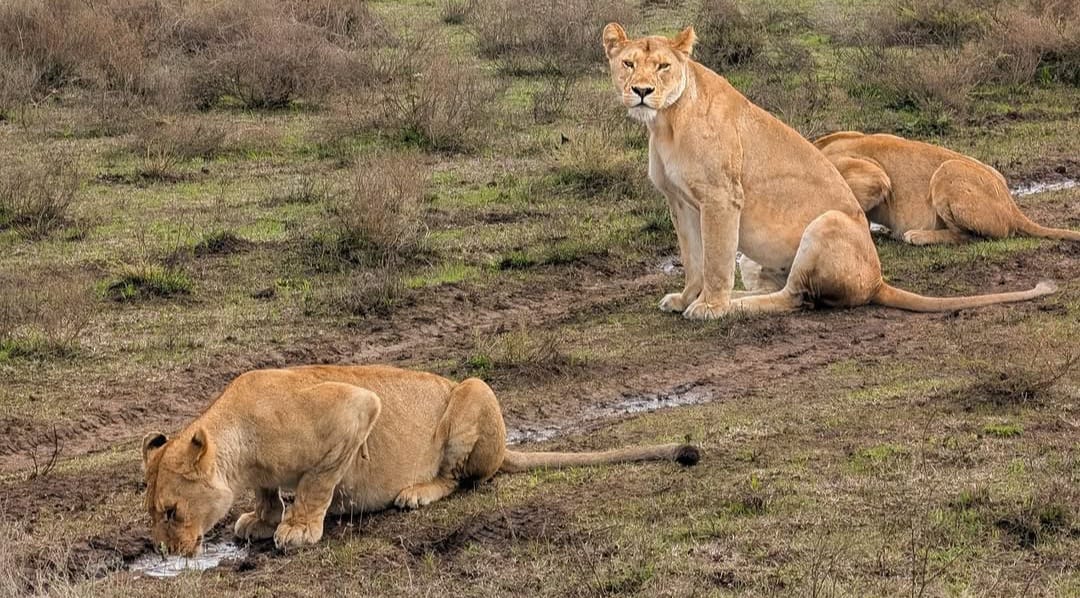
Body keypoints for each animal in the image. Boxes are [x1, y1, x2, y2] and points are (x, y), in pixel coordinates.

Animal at [141, 365, 700, 556]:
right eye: (154, 516)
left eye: (172, 512)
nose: (167, 553)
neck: (240, 442)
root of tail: (505, 448)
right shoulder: (259, 473)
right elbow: (266, 492)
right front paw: (260, 518)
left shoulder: (356, 407)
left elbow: (317, 484)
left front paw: (297, 528)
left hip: (473, 391)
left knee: (460, 480)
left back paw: (415, 493)